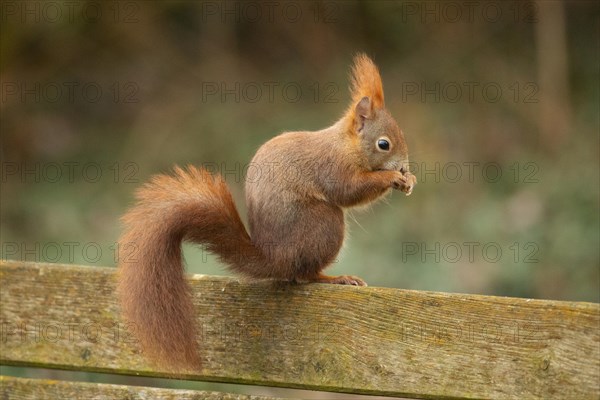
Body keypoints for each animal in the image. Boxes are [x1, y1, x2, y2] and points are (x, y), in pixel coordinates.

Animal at [118, 54, 418, 372]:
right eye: (383, 144)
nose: (403, 167)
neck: (346, 145)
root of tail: (275, 257)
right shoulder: (332, 167)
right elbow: (349, 191)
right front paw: (392, 178)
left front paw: (408, 179)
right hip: (325, 224)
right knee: (304, 276)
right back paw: (335, 279)